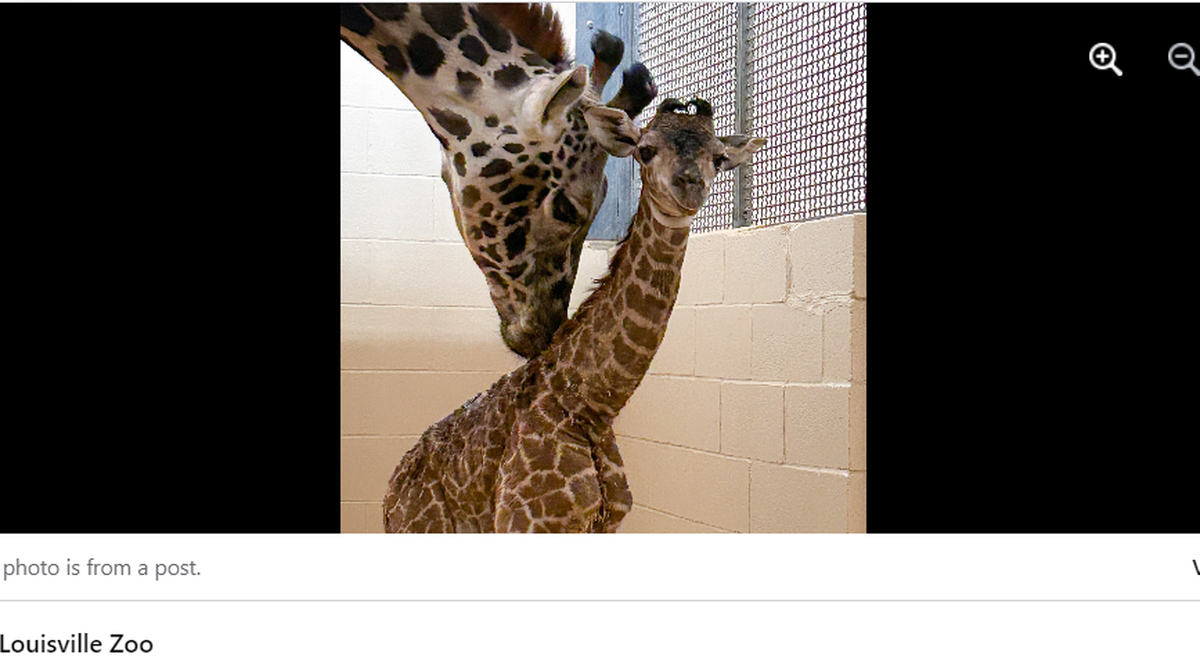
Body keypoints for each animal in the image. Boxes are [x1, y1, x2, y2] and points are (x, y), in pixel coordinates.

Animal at [384, 98, 766, 532]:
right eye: (646, 149)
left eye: (717, 157)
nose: (689, 185)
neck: (591, 409)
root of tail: (390, 495)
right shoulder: (526, 521)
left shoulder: (606, 524)